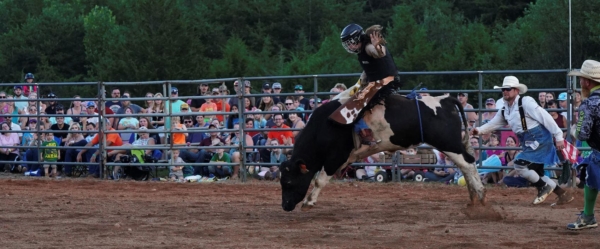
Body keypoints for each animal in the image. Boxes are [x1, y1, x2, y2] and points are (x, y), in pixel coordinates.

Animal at [278, 92, 486, 211]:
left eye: (288, 182)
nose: (285, 206)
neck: (325, 126)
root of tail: (445, 99)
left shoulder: (335, 157)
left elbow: (319, 179)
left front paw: (309, 201)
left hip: (449, 143)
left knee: (468, 163)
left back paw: (481, 196)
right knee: (466, 165)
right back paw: (473, 198)